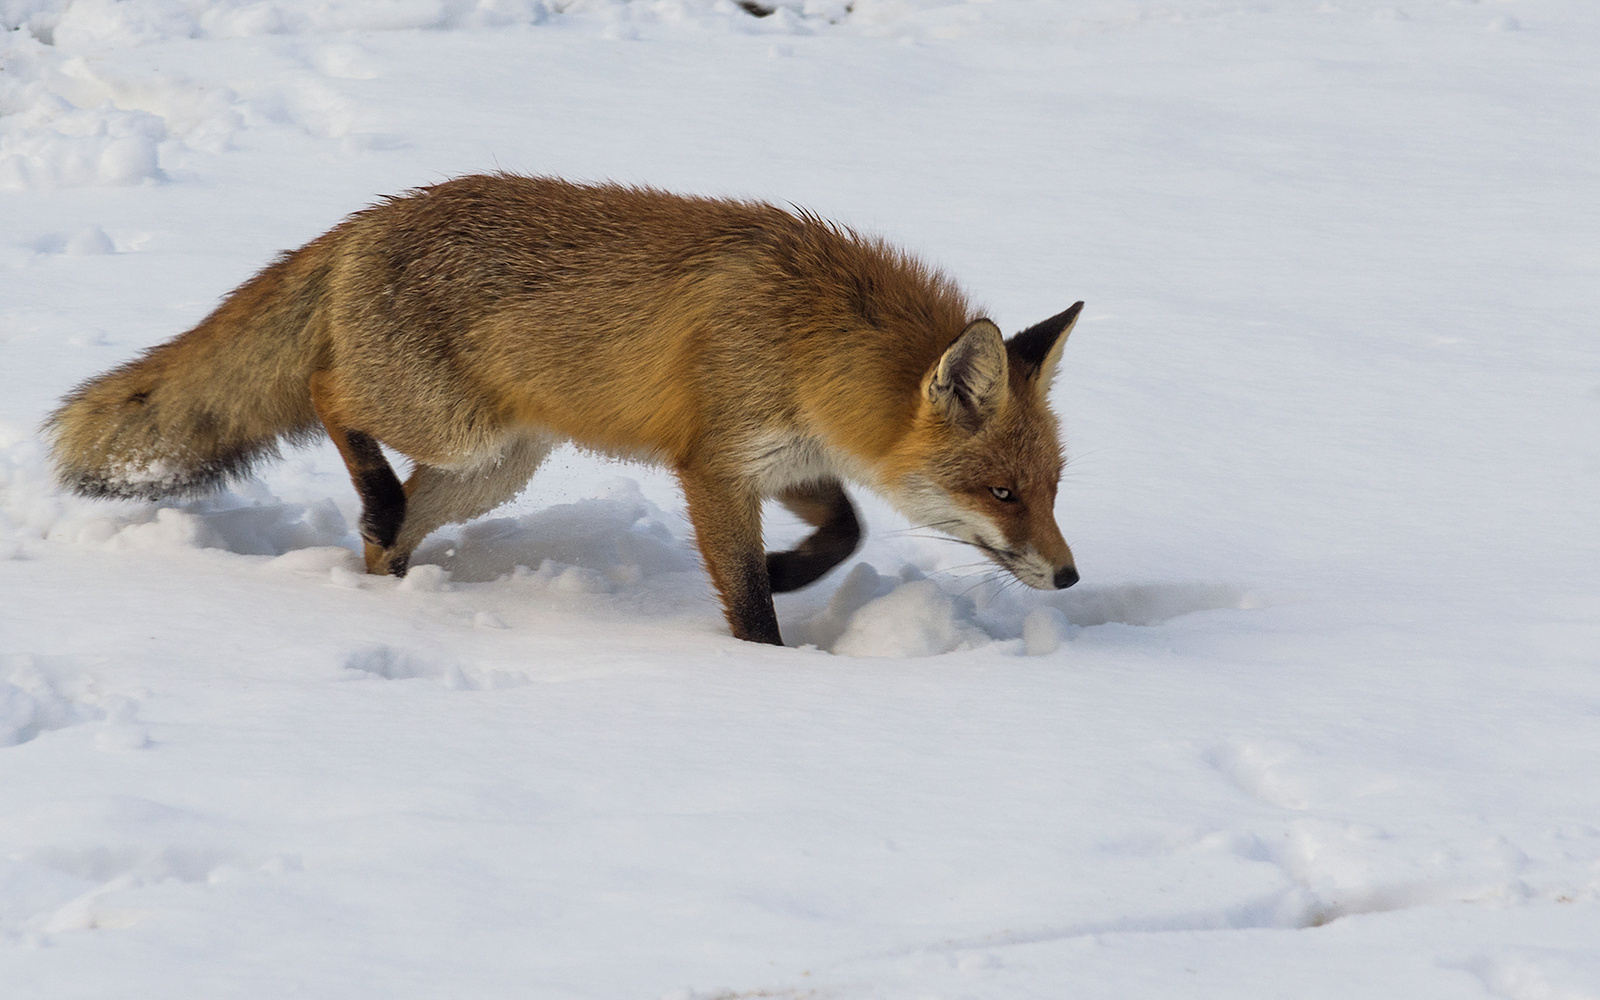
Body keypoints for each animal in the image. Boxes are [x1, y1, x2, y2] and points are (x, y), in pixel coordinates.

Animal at [43, 174, 1081, 643]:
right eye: (1000, 493)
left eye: (1052, 488)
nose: (1070, 577)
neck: (809, 334)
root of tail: (363, 219)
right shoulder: (713, 463)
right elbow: (748, 598)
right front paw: (767, 659)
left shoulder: (786, 459)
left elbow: (848, 531)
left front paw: (792, 571)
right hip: (451, 426)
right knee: (330, 396)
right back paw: (373, 502)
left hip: (491, 466)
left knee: (391, 531)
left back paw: (390, 588)